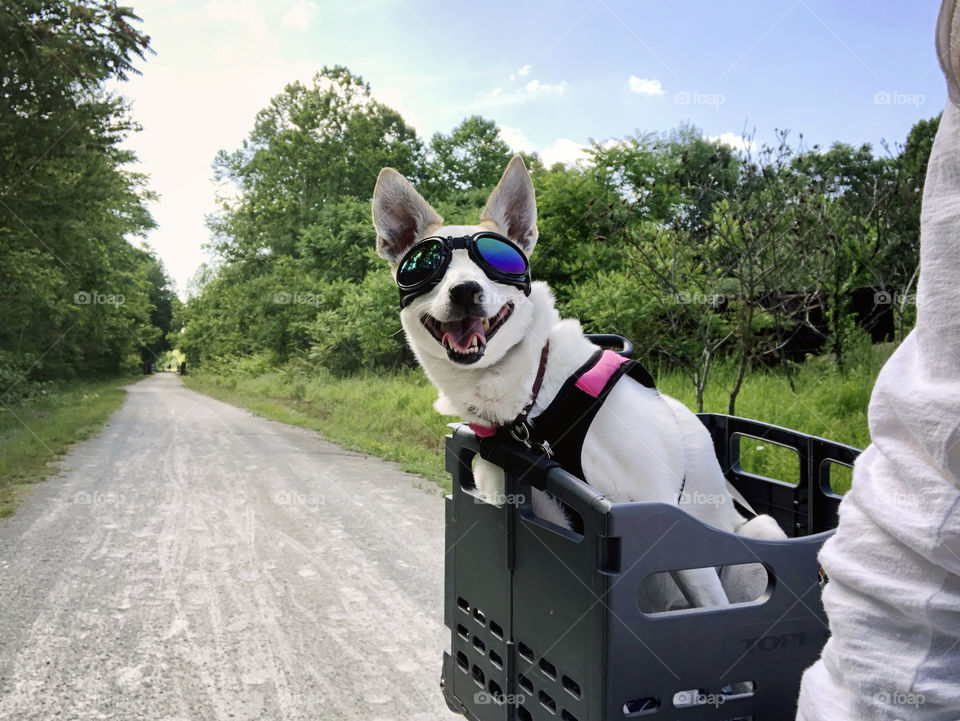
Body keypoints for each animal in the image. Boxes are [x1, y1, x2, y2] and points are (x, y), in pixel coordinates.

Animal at [372, 156, 784, 608]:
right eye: (426, 266)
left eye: (500, 261)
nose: (465, 290)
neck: (533, 400)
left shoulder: (666, 522)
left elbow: (711, 604)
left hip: (759, 532)